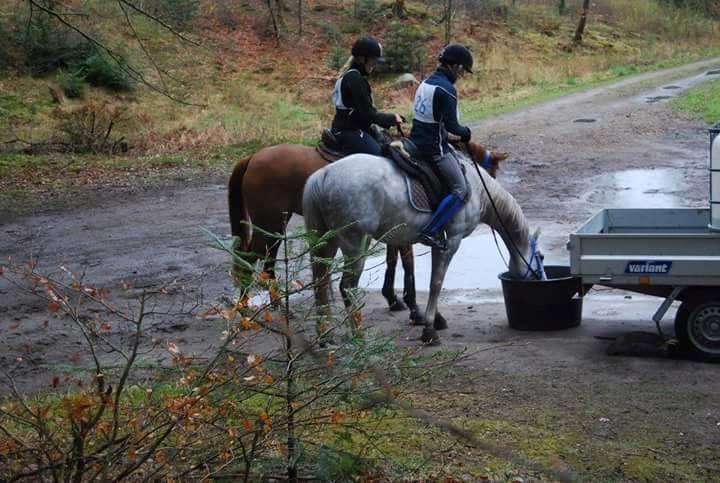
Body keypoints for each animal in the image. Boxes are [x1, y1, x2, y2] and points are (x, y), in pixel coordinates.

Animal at [228, 142, 504, 320]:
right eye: (490, 173)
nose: (489, 204)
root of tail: (252, 157)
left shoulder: (395, 231)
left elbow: (394, 260)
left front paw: (394, 299)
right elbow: (407, 262)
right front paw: (412, 307)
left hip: (275, 226)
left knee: (266, 262)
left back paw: (272, 307)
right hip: (270, 223)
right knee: (249, 259)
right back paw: (245, 309)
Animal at [300, 151, 544, 344]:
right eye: (540, 257)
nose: (540, 280)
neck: (478, 190)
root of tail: (323, 175)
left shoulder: (436, 243)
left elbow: (430, 279)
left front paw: (434, 318)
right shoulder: (451, 242)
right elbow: (436, 283)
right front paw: (429, 329)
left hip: (328, 242)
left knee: (321, 284)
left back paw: (325, 337)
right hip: (355, 244)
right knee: (347, 287)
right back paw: (358, 335)